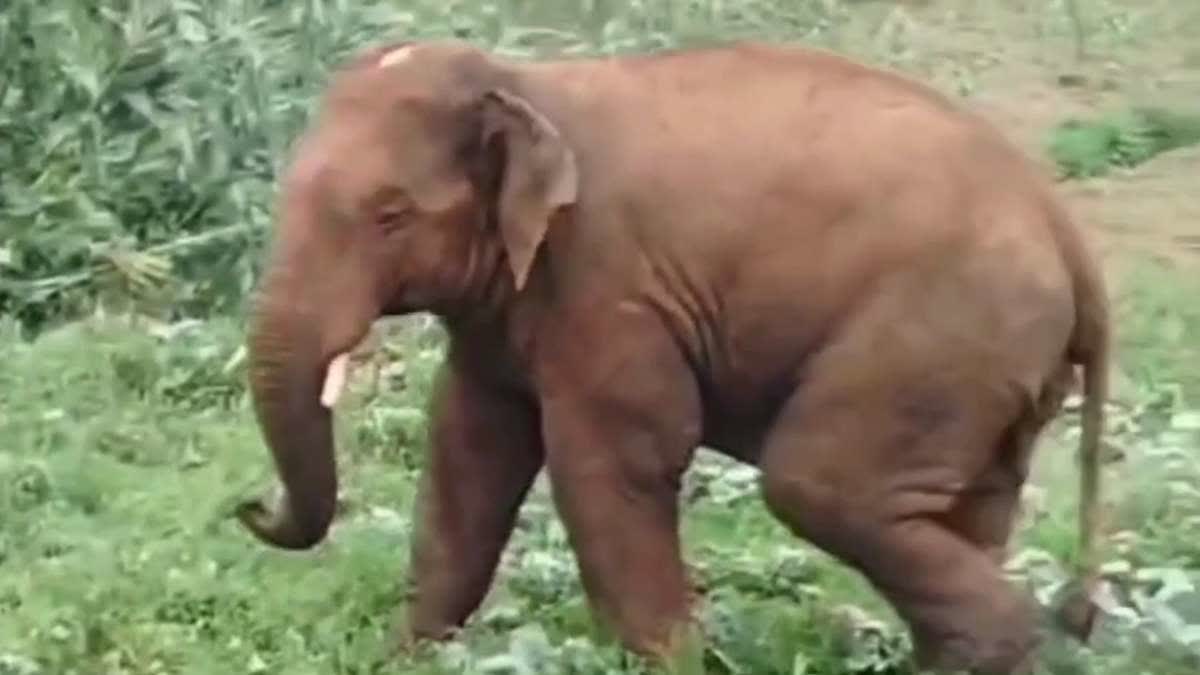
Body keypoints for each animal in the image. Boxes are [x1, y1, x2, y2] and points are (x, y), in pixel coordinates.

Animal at [234, 38, 1110, 675]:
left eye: (389, 215)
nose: (248, 505)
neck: (526, 85)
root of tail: (1065, 231)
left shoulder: (612, 288)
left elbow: (611, 461)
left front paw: (668, 662)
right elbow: (468, 453)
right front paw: (401, 656)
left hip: (933, 337)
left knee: (820, 486)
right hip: (986, 371)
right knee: (962, 510)